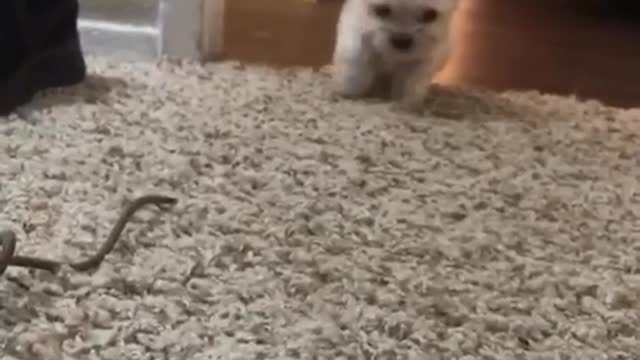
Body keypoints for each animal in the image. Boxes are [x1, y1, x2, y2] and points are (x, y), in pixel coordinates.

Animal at [330, 0, 460, 112]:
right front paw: (347, 92)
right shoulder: (355, 33)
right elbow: (355, 61)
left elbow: (412, 82)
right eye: (382, 10)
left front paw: (406, 103)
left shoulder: (428, 57)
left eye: (430, 15)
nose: (402, 41)